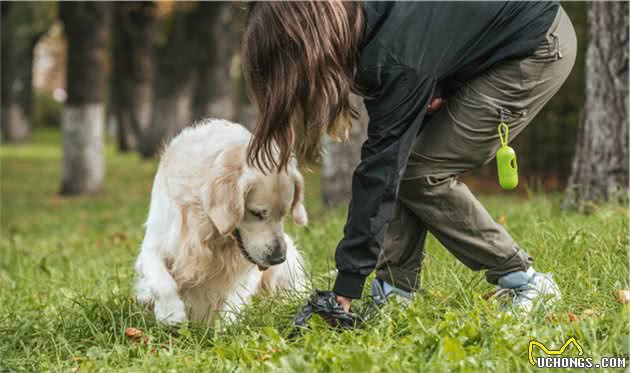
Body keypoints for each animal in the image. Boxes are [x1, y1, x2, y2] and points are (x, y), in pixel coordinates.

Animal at [135, 119, 308, 322]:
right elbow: (161, 281)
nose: (278, 258)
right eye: (257, 213)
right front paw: (171, 314)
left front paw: (228, 325)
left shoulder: (247, 267)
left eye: (283, 214)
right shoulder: (156, 242)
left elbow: (235, 298)